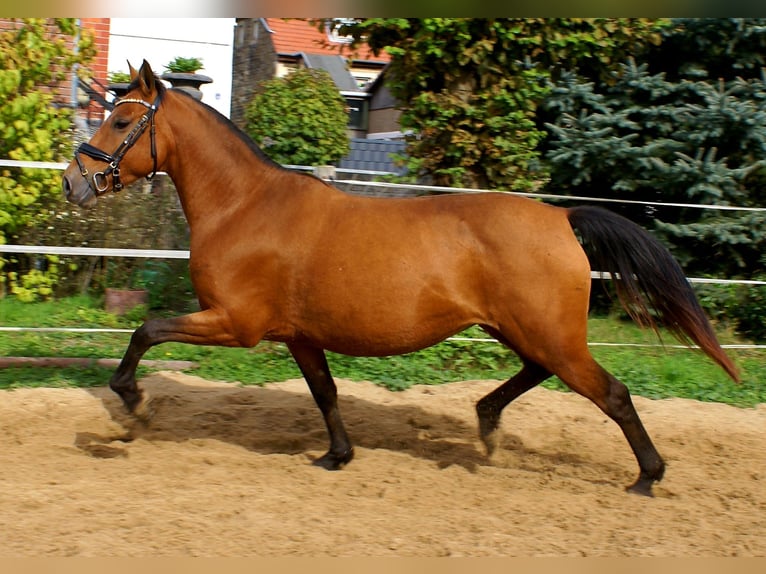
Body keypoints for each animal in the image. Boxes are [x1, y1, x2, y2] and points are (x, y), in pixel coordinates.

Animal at [64, 60, 736, 498]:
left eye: (121, 123)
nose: (74, 183)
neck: (244, 206)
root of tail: (561, 217)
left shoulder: (237, 324)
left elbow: (146, 331)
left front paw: (133, 405)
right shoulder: (299, 335)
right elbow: (326, 393)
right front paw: (337, 456)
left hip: (548, 333)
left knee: (613, 395)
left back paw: (646, 477)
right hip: (521, 329)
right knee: (538, 374)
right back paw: (486, 425)